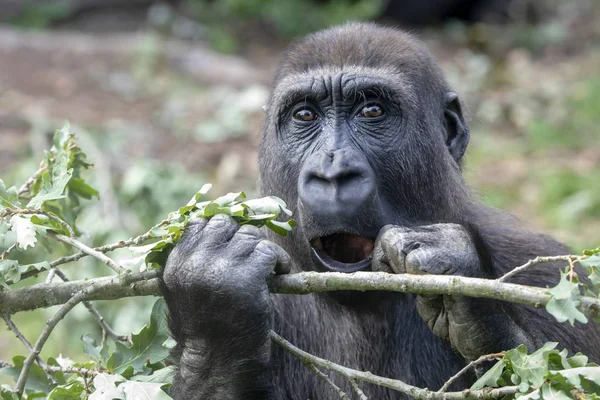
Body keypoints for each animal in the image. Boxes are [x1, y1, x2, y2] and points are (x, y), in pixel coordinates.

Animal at [161, 22, 600, 400]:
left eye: (372, 111)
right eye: (305, 115)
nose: (333, 173)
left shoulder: (559, 281)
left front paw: (466, 297)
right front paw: (214, 311)